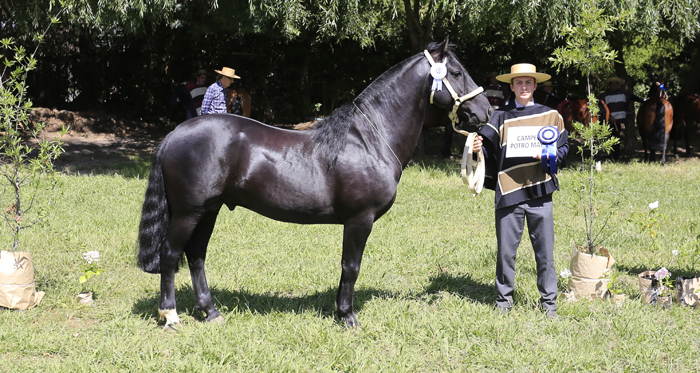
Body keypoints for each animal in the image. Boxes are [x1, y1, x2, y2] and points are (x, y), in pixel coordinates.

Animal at [135, 38, 486, 328]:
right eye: (456, 72)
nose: (484, 111)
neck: (369, 139)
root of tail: (175, 134)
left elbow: (346, 268)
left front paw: (340, 311)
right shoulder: (360, 220)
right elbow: (351, 266)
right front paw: (347, 317)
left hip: (209, 210)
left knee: (196, 255)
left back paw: (210, 312)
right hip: (188, 212)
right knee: (170, 255)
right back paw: (170, 316)